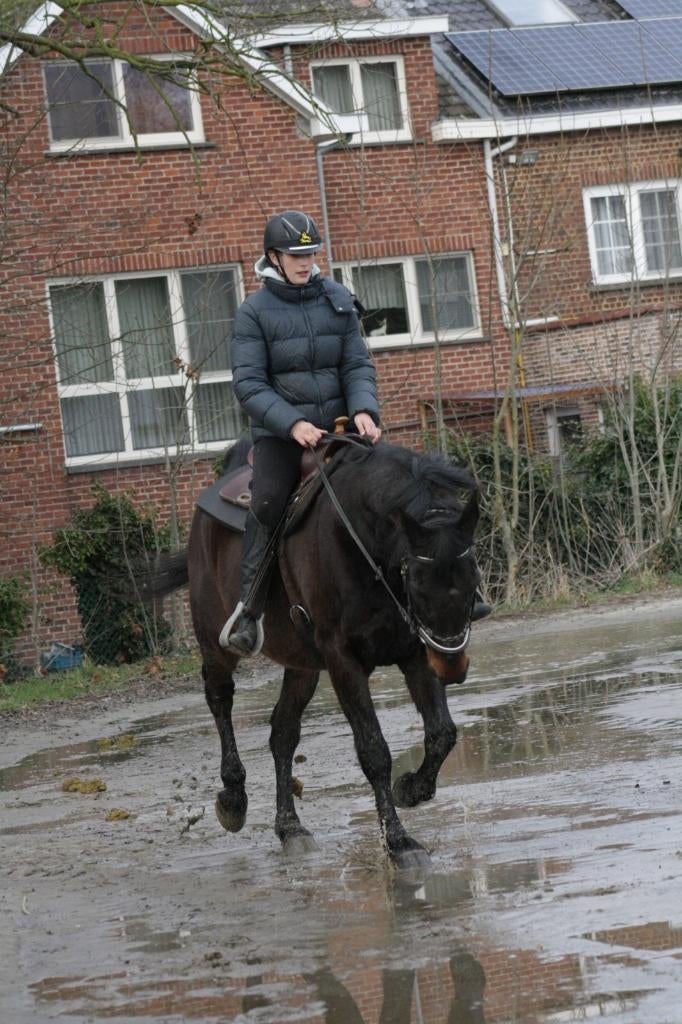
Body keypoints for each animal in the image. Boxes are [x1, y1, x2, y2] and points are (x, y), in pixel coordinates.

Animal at [146, 437, 481, 869]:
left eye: (473, 576)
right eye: (418, 582)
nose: (452, 665)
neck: (363, 543)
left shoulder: (415, 650)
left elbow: (442, 732)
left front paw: (411, 788)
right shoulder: (343, 660)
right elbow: (374, 751)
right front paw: (400, 842)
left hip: (302, 665)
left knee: (283, 733)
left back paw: (290, 827)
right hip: (214, 642)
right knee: (220, 699)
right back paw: (233, 799)